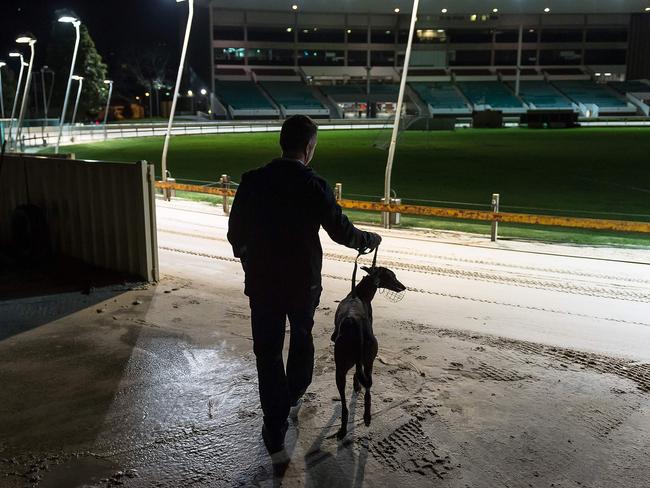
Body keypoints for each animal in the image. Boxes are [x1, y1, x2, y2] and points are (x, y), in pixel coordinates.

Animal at [332, 250, 402, 440]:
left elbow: (357, 375)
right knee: (368, 387)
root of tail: (354, 323)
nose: (403, 287)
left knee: (345, 403)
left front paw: (356, 386)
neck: (358, 294)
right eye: (392, 276)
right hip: (368, 359)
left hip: (341, 368)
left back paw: (344, 427)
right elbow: (359, 374)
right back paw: (366, 416)